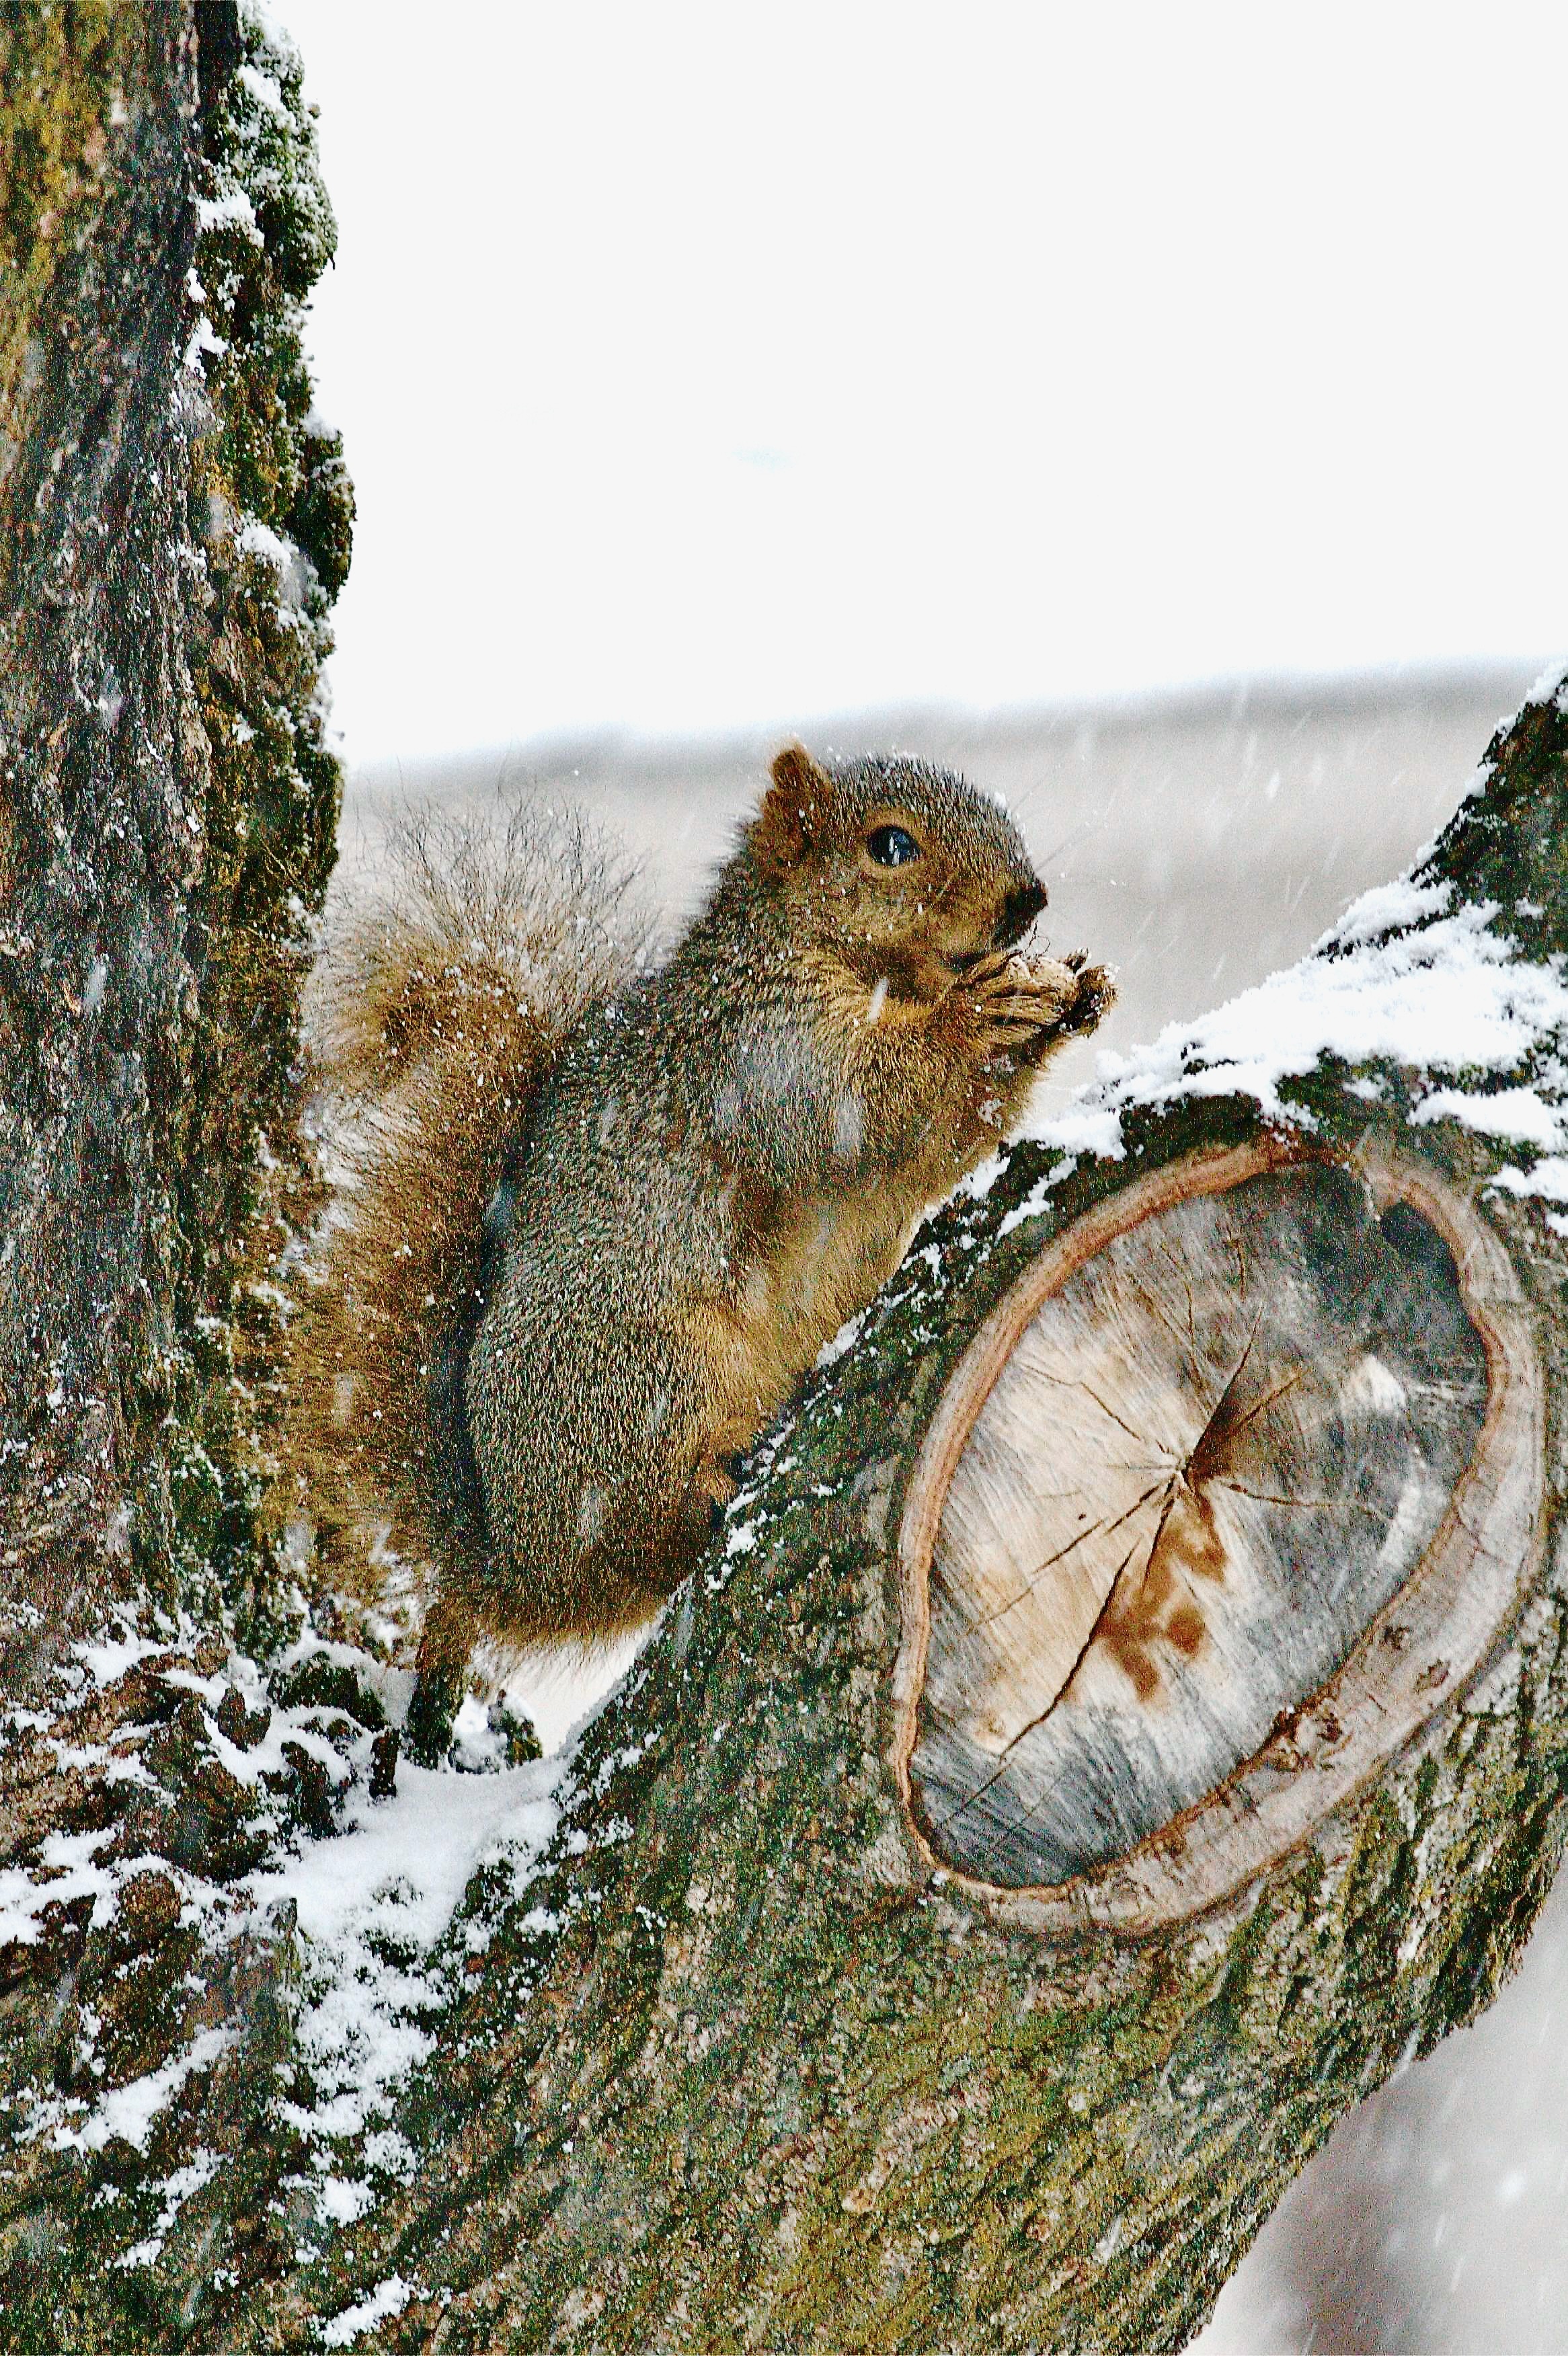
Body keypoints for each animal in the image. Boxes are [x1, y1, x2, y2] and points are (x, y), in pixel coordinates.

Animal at [285, 744, 1114, 1758]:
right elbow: (873, 1104)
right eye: (890, 846)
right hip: (645, 1373)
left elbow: (942, 1145)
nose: (1028, 900)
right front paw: (986, 1017)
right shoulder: (763, 1055)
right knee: (644, 1526)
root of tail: (516, 1562)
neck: (832, 956)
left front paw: (1080, 990)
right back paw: (716, 1470)